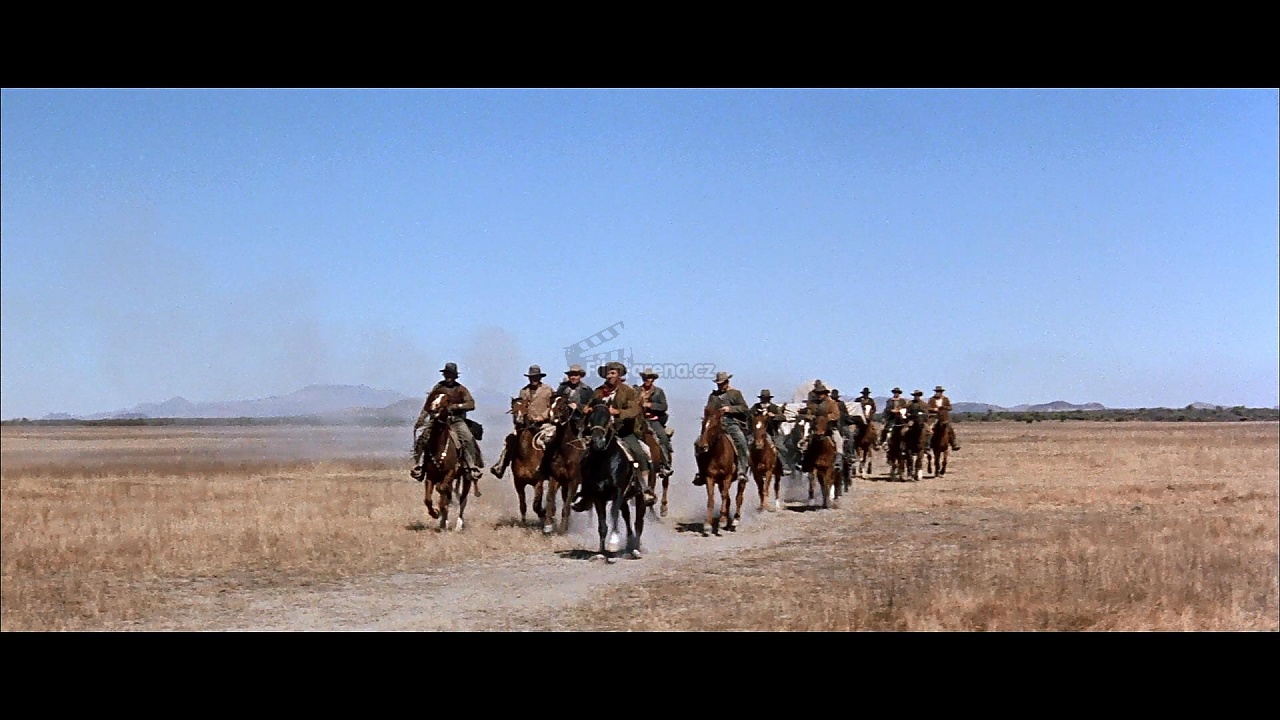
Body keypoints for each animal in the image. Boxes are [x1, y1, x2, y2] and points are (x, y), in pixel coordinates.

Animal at [415, 392, 474, 531]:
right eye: (433, 398)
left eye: (447, 400)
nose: (434, 408)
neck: (439, 446)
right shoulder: (430, 476)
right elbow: (428, 499)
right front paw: (436, 514)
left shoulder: (450, 473)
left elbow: (441, 489)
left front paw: (441, 511)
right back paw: (444, 521)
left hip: (466, 478)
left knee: (463, 500)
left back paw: (458, 525)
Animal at [503, 396, 547, 526]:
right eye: (513, 407)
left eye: (526, 406)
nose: (519, 421)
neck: (526, 455)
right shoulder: (518, 483)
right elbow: (523, 505)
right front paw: (523, 523)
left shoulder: (538, 482)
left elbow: (536, 505)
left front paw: (543, 514)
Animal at [578, 401, 646, 562]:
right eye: (590, 419)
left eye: (608, 419)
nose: (597, 441)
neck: (604, 461)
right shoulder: (598, 498)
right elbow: (602, 525)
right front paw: (601, 553)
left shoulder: (618, 492)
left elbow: (613, 514)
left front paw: (614, 543)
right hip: (625, 500)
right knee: (627, 517)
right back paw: (629, 545)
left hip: (639, 497)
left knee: (638, 521)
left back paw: (636, 549)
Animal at [695, 403, 745, 534]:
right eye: (703, 423)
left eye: (714, 425)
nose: (702, 446)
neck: (718, 454)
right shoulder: (710, 478)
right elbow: (711, 499)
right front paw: (708, 525)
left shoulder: (727, 477)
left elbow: (724, 496)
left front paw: (722, 521)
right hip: (719, 482)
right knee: (728, 499)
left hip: (740, 479)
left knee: (738, 497)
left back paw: (735, 521)